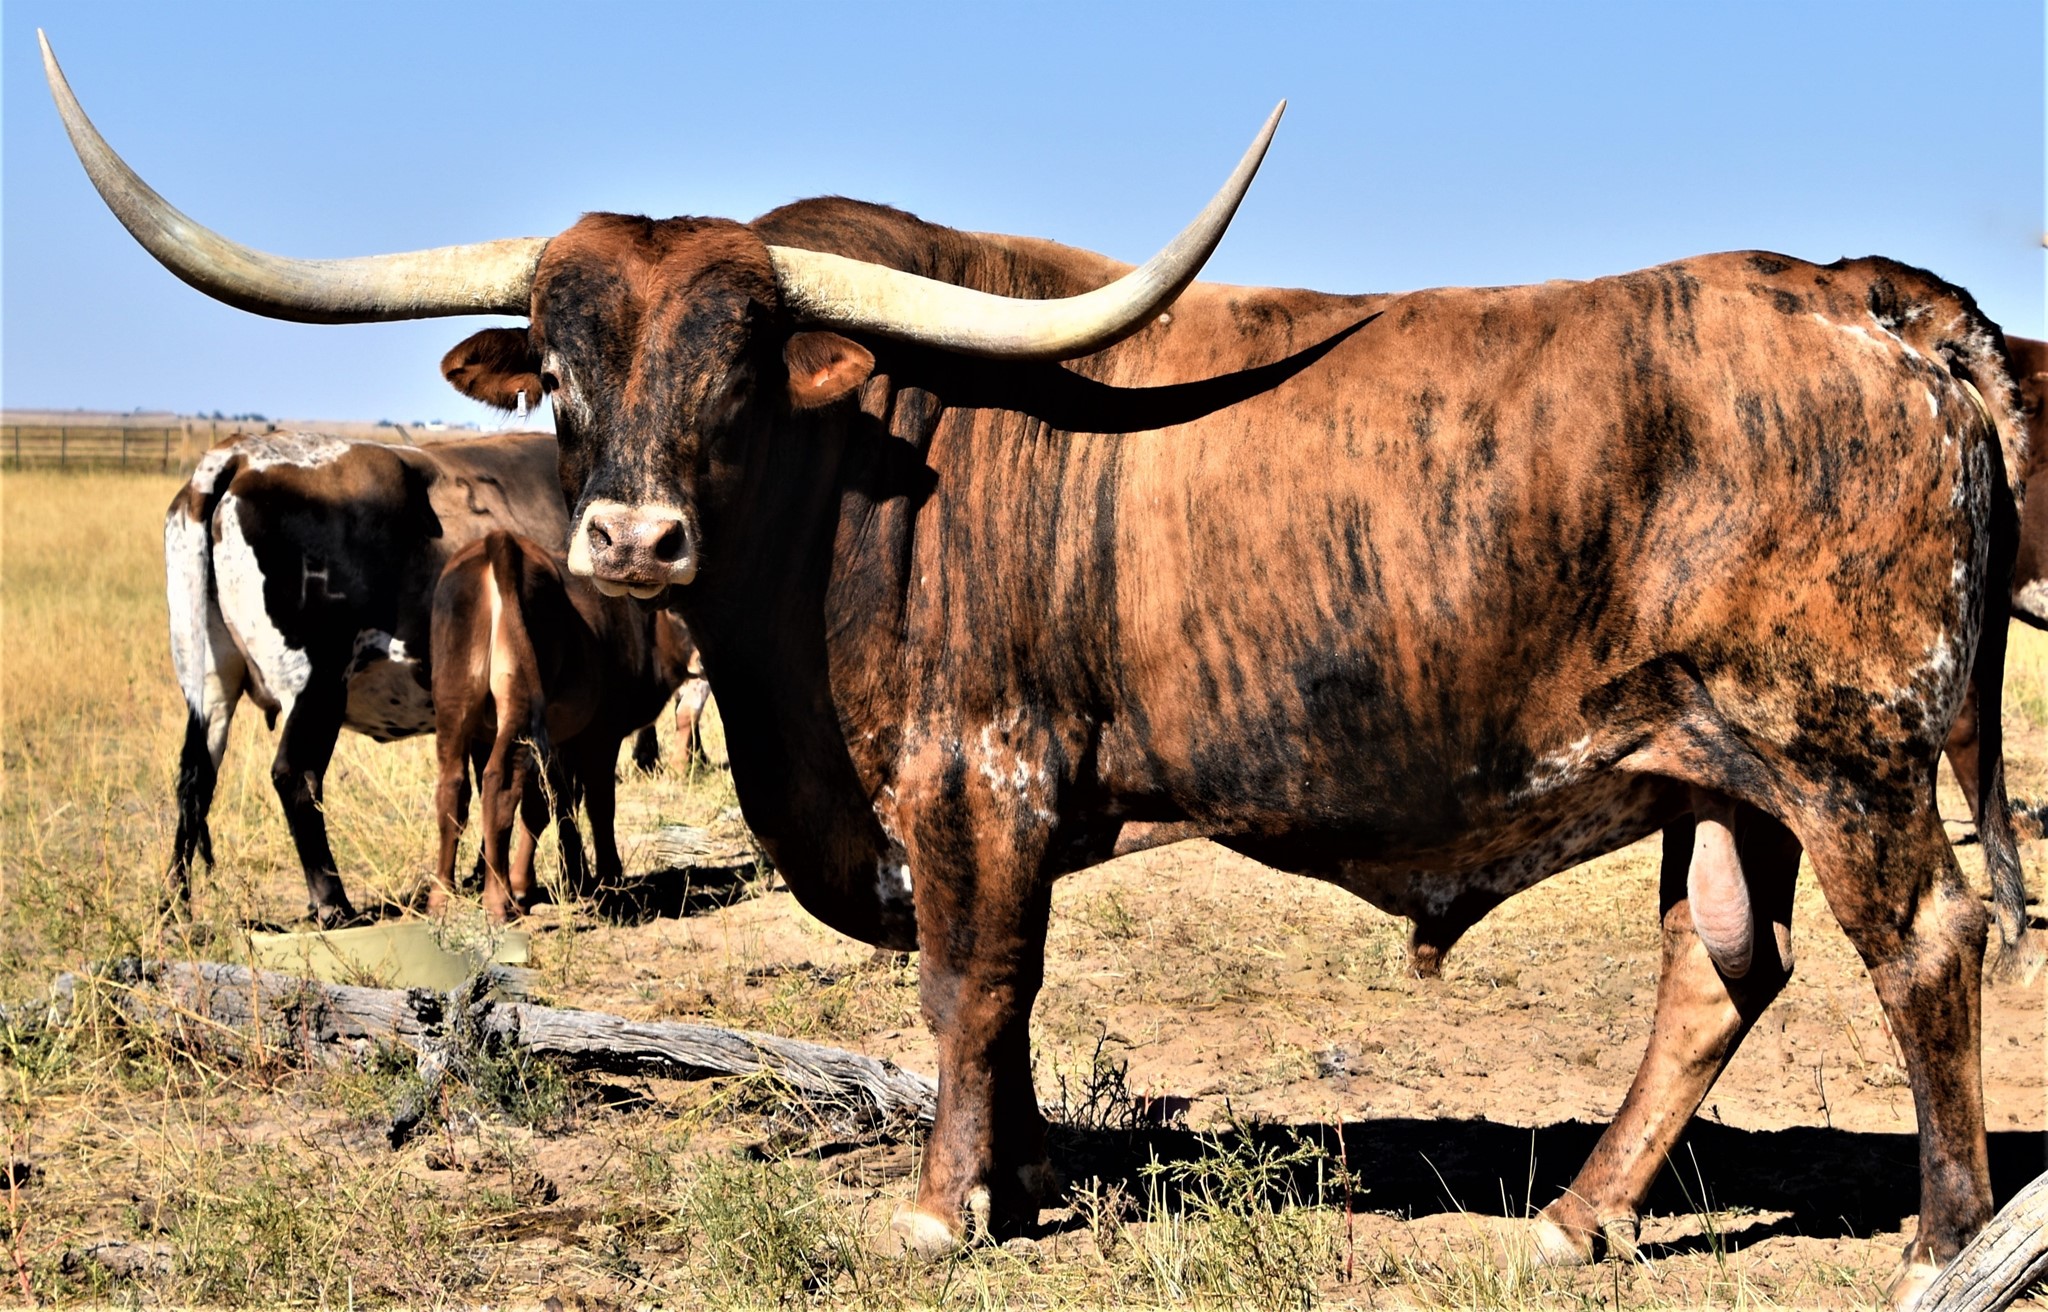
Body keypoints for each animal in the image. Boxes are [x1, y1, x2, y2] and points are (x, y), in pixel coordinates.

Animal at [165, 428, 572, 926]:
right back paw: (333, 902)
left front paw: (481, 878)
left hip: (209, 680)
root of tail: (240, 454)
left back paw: (175, 905)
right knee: (294, 776)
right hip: (317, 684)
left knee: (196, 778)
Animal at [430, 530, 696, 921]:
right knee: (499, 784)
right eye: (678, 612)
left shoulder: (548, 739)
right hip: (521, 709)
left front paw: (558, 880)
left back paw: (442, 897)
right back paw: (497, 901)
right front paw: (607, 880)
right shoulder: (600, 733)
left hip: (454, 702)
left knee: (453, 788)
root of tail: (501, 542)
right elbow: (595, 803)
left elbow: (551, 804)